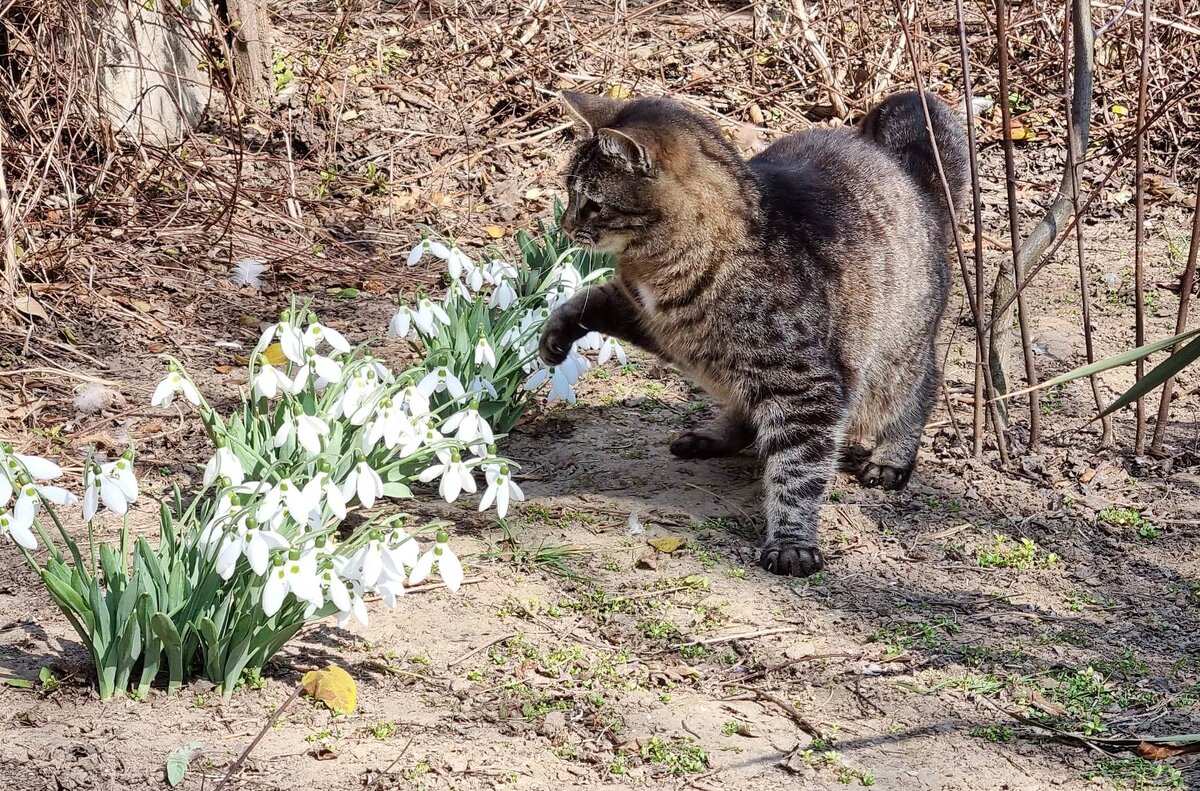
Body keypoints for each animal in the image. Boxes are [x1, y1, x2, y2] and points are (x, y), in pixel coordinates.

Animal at [540, 91, 969, 576]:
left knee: (920, 389)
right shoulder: (648, 318)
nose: (565, 225)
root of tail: (908, 174)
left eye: (590, 201)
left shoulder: (805, 386)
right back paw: (715, 435)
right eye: (570, 193)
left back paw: (891, 457)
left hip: (898, 355)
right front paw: (554, 334)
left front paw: (792, 541)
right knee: (744, 406)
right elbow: (585, 300)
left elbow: (798, 471)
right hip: (715, 366)